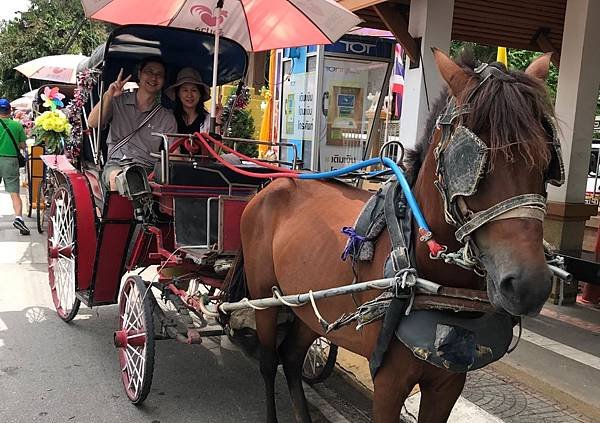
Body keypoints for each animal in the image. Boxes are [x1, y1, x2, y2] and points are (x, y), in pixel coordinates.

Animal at [240, 50, 564, 423]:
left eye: (546, 162)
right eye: (471, 163)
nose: (529, 285)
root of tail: (275, 183)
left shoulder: (448, 382)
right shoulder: (389, 382)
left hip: (309, 305)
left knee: (292, 357)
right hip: (264, 295)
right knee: (269, 361)